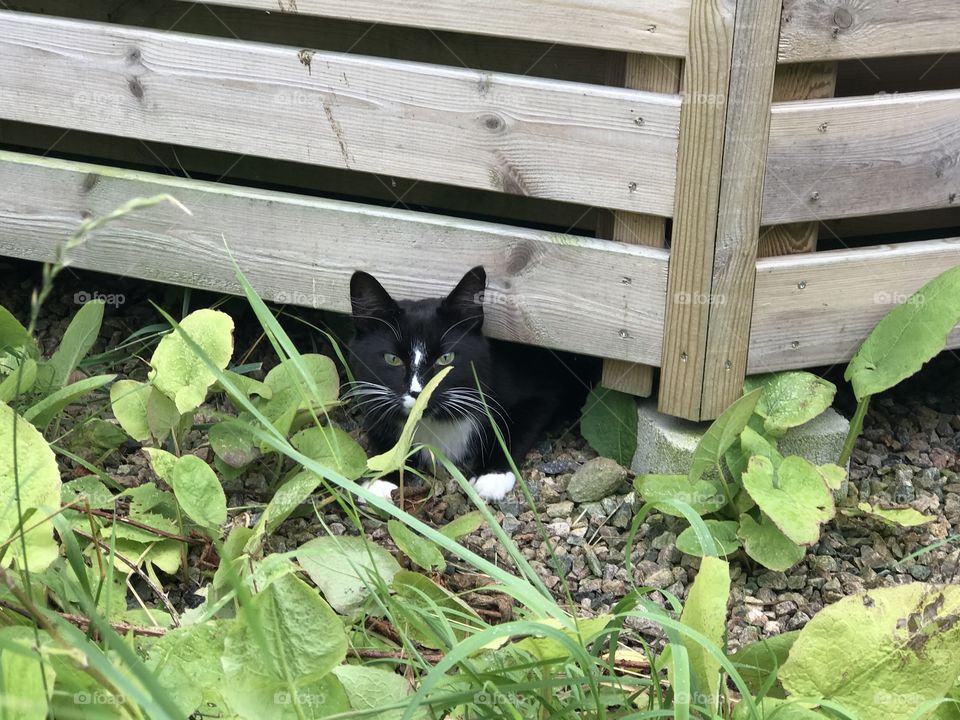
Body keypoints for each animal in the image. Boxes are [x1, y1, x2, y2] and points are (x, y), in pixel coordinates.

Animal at [348, 268, 596, 504]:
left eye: (446, 358)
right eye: (392, 359)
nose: (419, 393)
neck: (436, 420)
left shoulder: (540, 392)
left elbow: (516, 427)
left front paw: (492, 476)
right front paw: (383, 477)